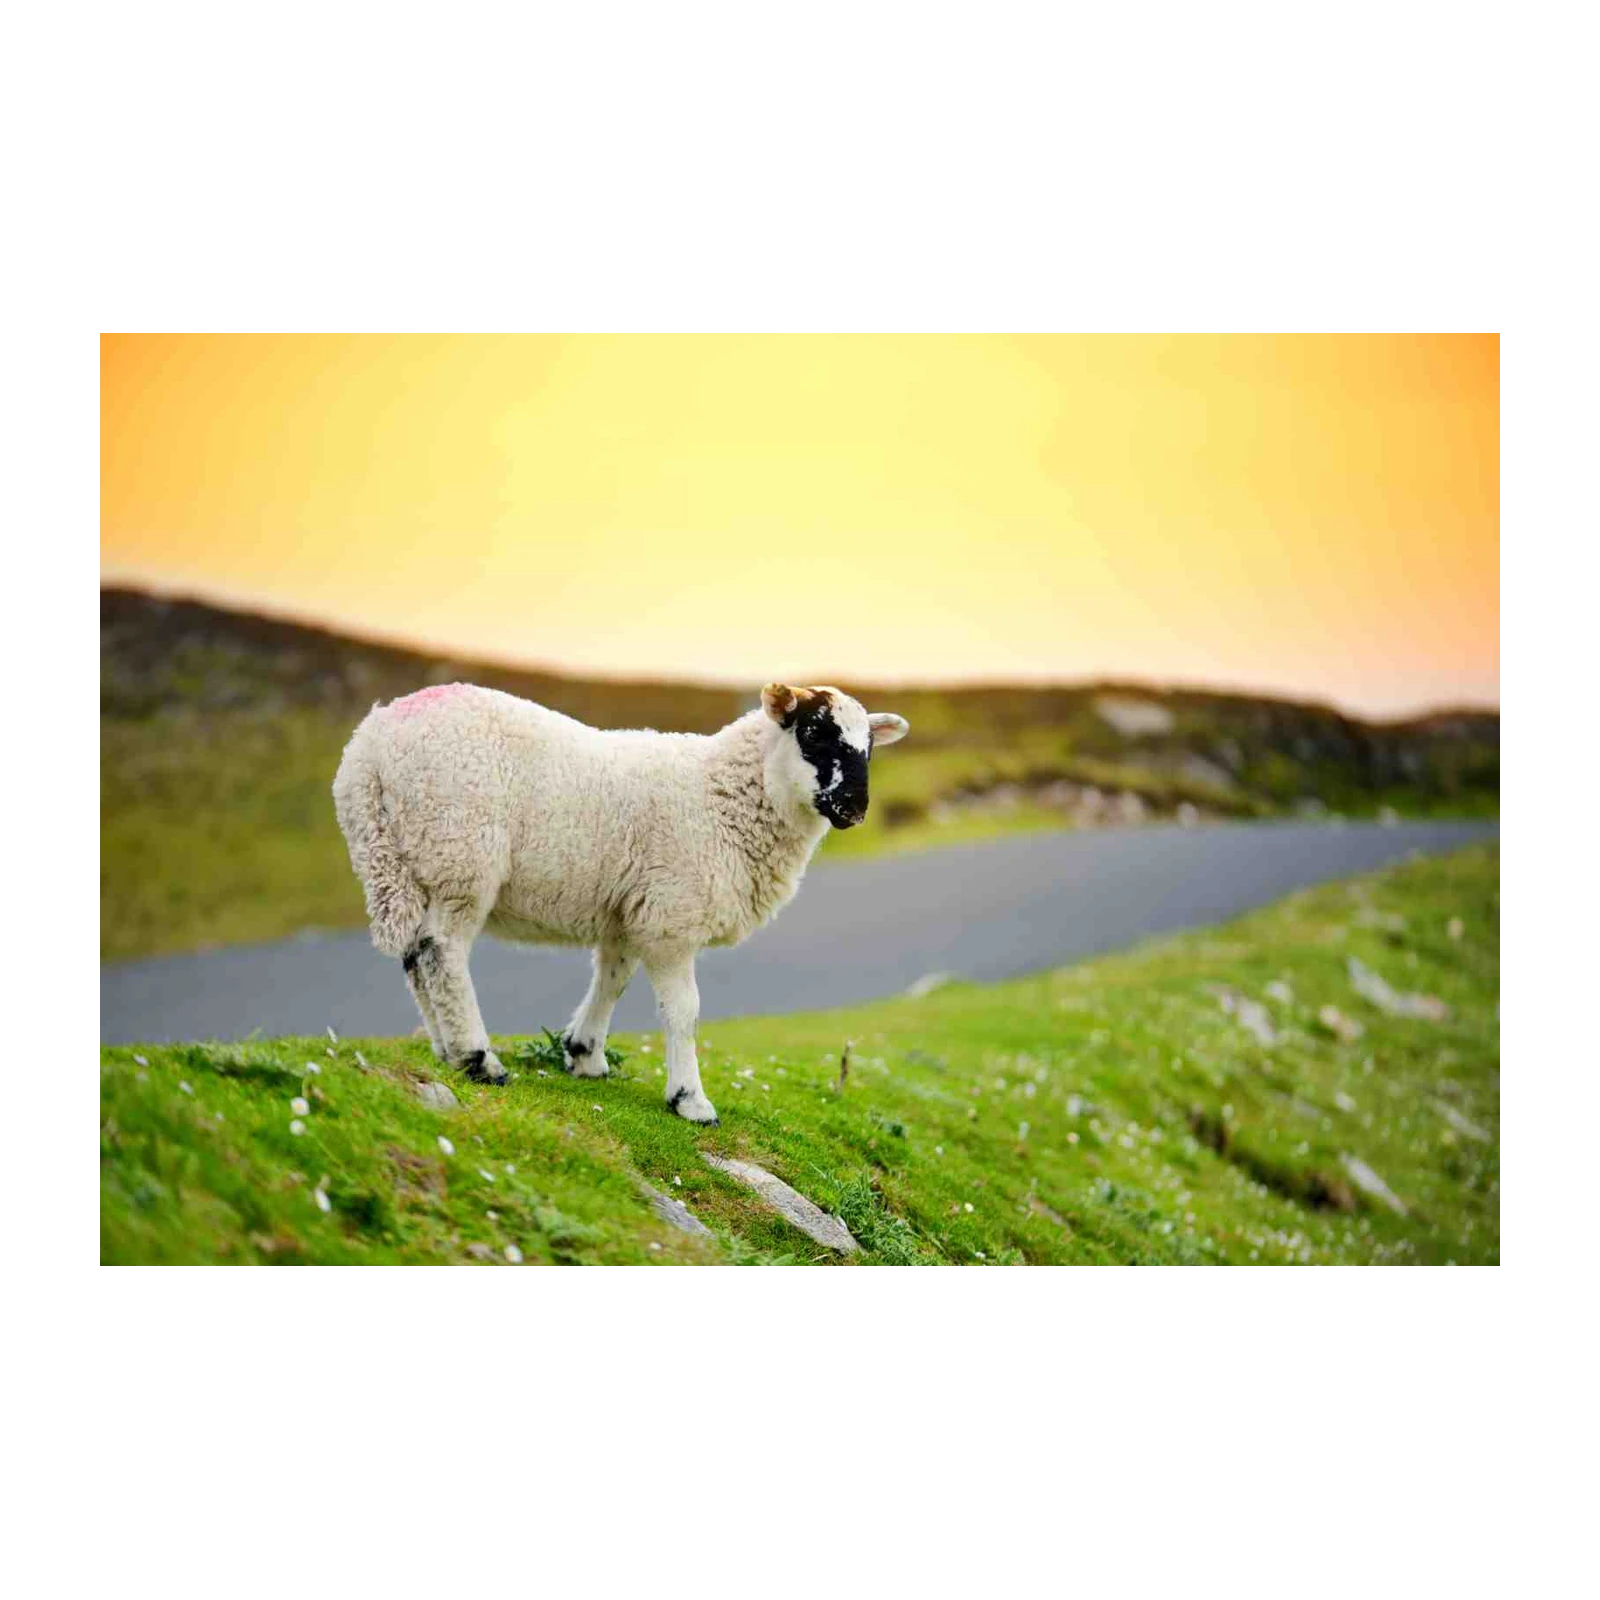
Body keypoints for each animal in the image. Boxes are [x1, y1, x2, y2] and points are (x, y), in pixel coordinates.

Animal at [332, 681, 909, 1123]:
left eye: (870, 747)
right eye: (813, 732)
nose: (855, 807)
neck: (723, 794)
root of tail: (371, 744)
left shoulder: (634, 910)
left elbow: (613, 979)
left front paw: (585, 1055)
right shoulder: (674, 916)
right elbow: (684, 1011)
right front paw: (690, 1100)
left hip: (401, 863)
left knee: (415, 957)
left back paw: (444, 1049)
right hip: (459, 852)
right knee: (441, 952)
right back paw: (478, 1059)